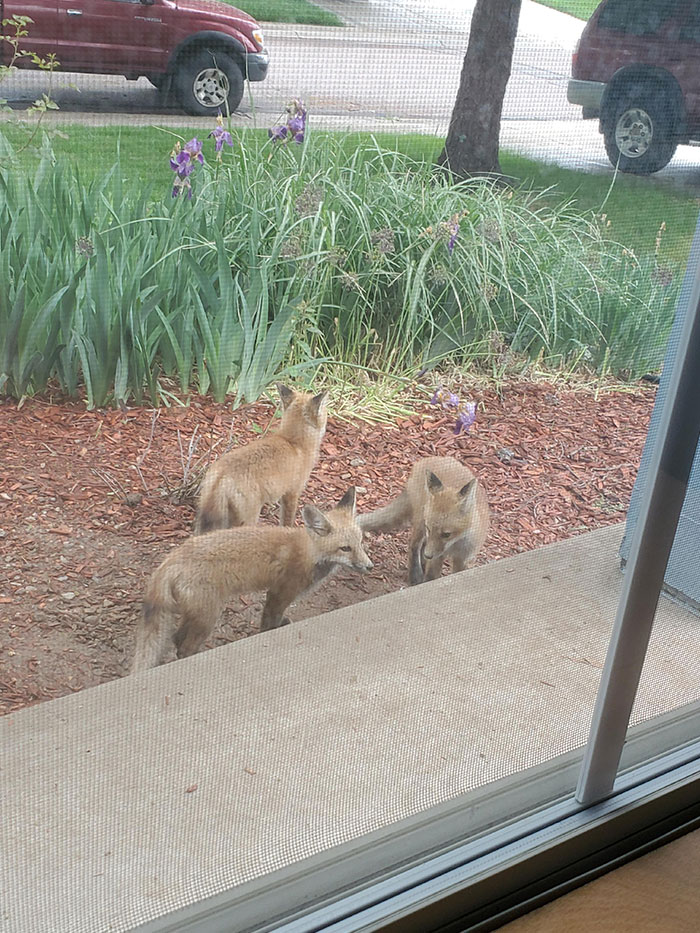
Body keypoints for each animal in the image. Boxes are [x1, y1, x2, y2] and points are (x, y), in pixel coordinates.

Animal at [132, 487, 372, 671]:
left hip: (197, 615)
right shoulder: (280, 593)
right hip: (208, 617)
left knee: (176, 638)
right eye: (345, 548)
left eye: (360, 543)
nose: (369, 566)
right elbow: (269, 622)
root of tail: (169, 560)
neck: (309, 553)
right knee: (184, 647)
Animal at [359, 456, 489, 586]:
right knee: (414, 545)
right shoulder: (436, 555)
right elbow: (432, 577)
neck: (455, 545)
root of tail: (428, 459)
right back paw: (415, 574)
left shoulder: (464, 559)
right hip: (420, 522)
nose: (428, 555)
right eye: (429, 529)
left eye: (446, 534)